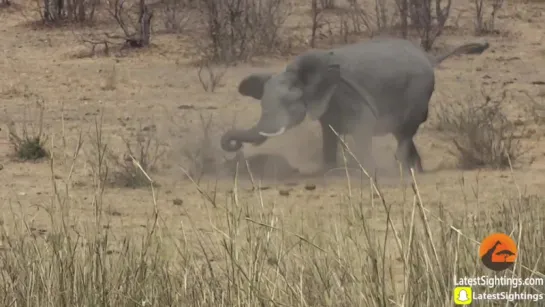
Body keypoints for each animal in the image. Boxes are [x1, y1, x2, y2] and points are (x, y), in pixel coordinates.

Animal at [219, 37, 490, 174]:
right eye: (262, 103)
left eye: (289, 103)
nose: (234, 147)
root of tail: (429, 56)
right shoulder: (328, 104)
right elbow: (328, 134)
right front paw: (327, 170)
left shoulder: (349, 94)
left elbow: (363, 128)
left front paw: (366, 171)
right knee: (404, 134)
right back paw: (415, 170)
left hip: (418, 91)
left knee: (405, 132)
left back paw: (400, 168)